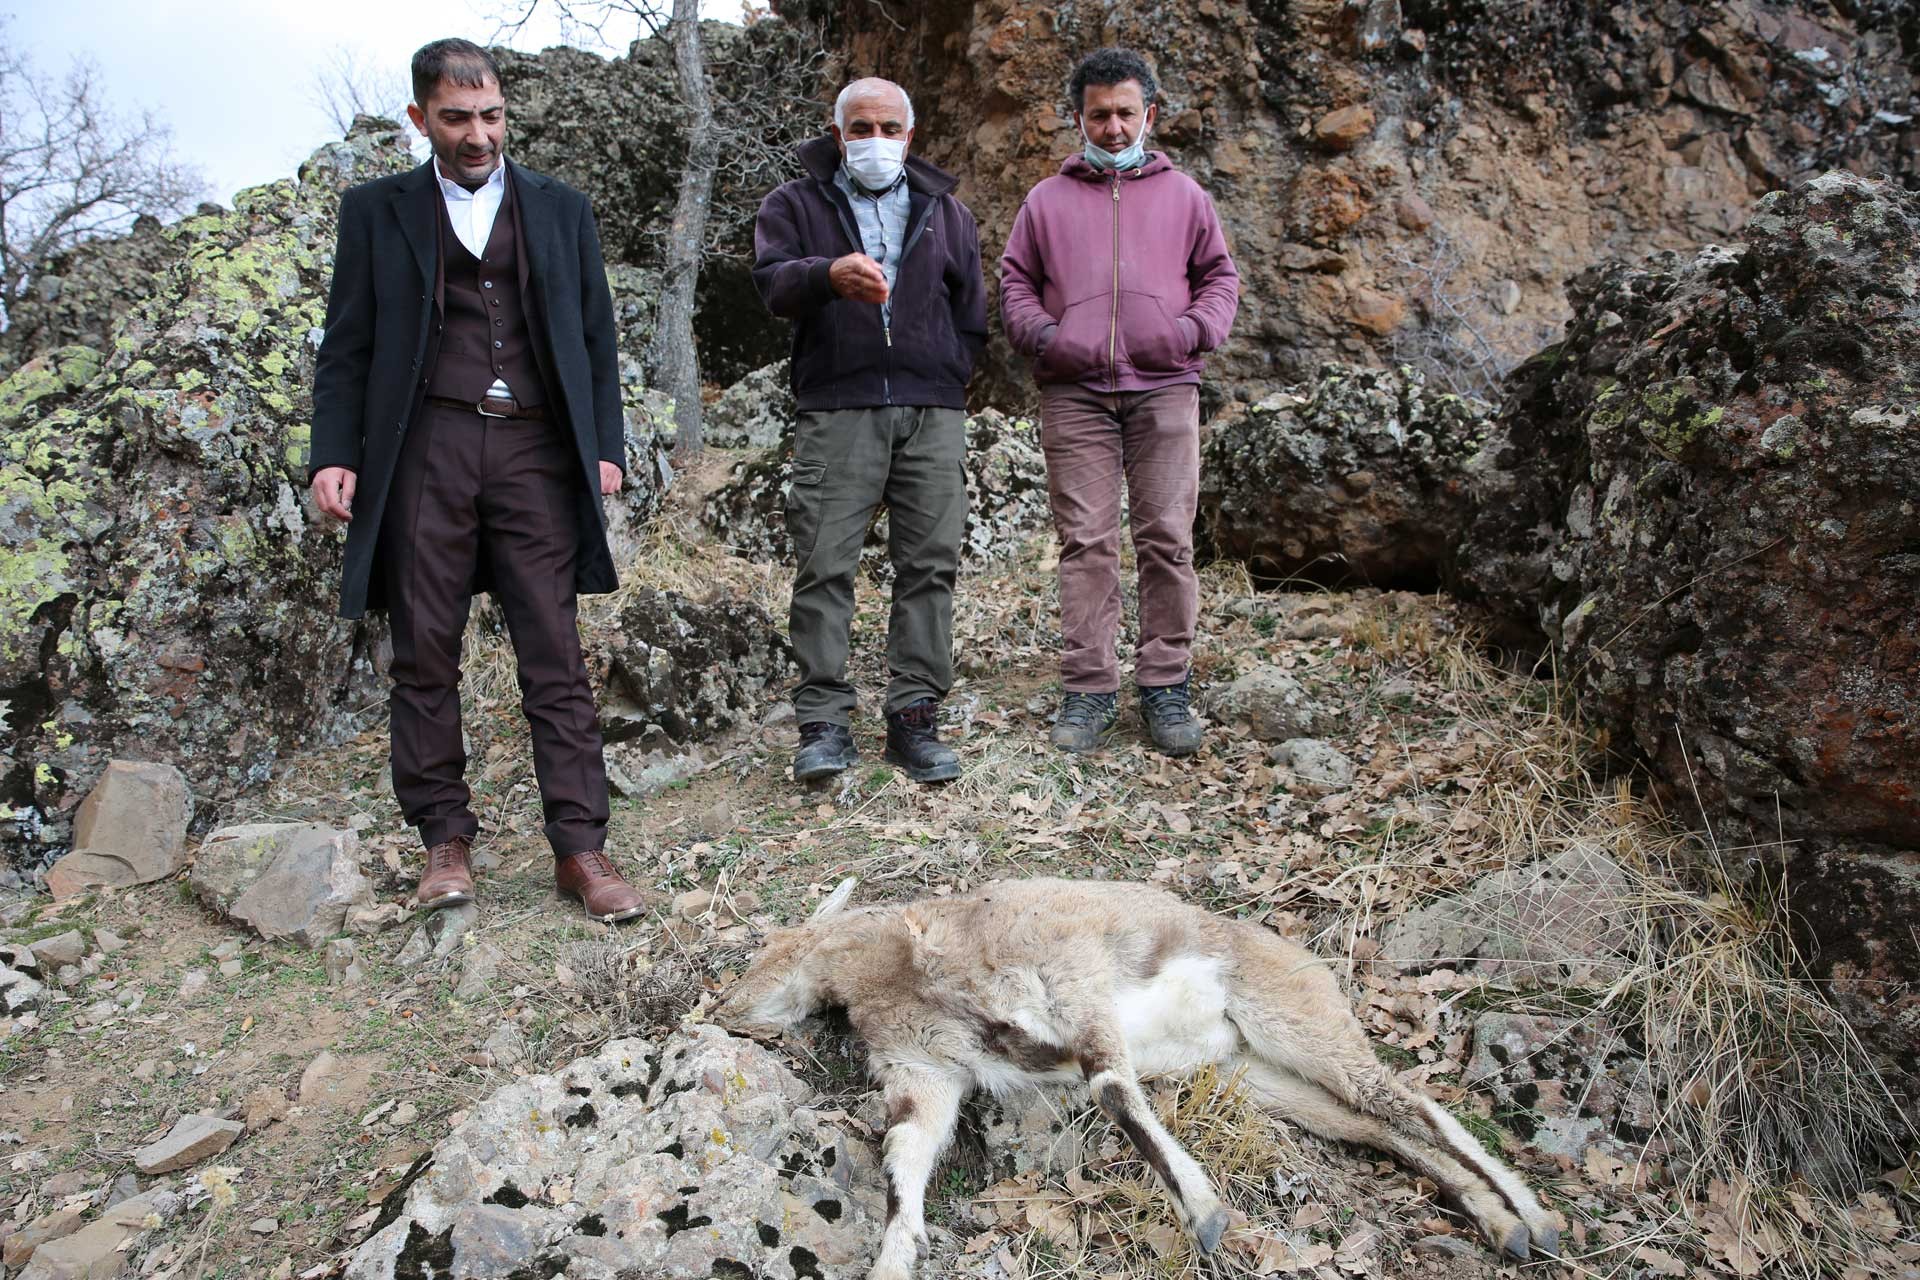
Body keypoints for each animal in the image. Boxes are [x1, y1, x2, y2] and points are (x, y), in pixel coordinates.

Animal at [721, 875, 1559, 1280]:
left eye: (767, 947)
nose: (723, 1005)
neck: (911, 963)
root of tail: (1303, 961)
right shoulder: (928, 1076)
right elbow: (905, 1165)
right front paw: (893, 1262)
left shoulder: (1074, 984)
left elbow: (1114, 1092)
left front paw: (1206, 1218)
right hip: (1261, 1075)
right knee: (1376, 1126)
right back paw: (1502, 1226)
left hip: (1303, 1028)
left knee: (1411, 1102)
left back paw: (1537, 1222)